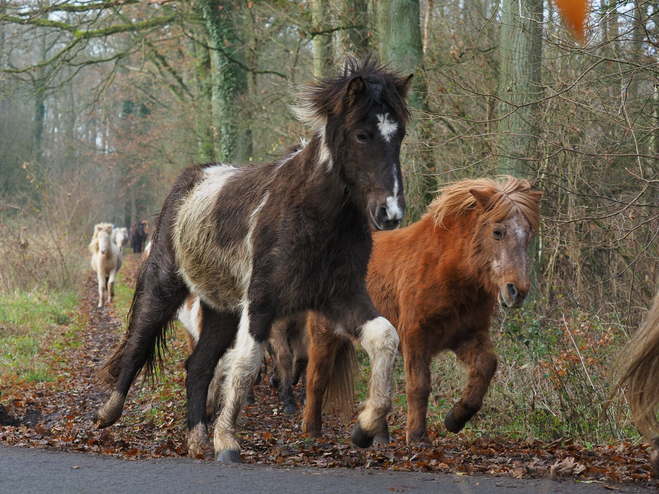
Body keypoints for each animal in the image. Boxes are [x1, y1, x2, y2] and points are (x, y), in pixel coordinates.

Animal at [93, 58, 412, 464]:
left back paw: (197, 438)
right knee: (137, 345)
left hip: (221, 309)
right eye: (362, 135)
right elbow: (245, 365)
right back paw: (108, 413)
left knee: (198, 366)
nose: (390, 212)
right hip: (164, 287)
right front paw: (228, 442)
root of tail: (188, 182)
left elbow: (386, 337)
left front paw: (365, 426)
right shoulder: (261, 303)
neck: (313, 213)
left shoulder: (340, 297)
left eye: (399, 135)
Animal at [302, 177, 540, 444]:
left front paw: (456, 418)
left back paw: (375, 434)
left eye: (529, 235)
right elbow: (418, 387)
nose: (517, 291)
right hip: (323, 334)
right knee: (316, 379)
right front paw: (417, 436)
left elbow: (486, 366)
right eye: (497, 232)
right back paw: (312, 431)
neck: (446, 270)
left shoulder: (466, 335)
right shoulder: (416, 337)